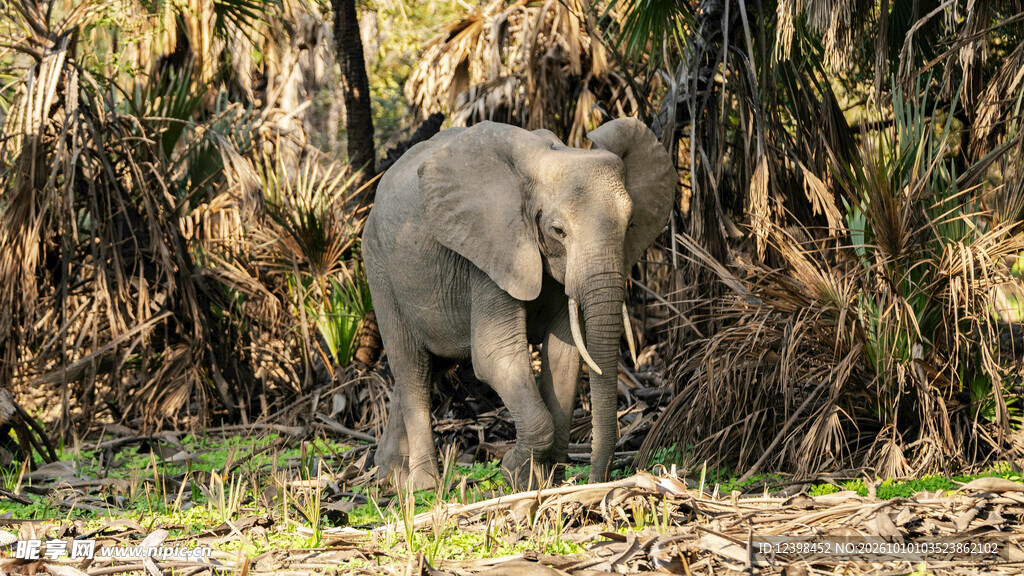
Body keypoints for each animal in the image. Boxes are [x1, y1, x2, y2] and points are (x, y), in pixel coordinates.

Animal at [362, 117, 676, 489]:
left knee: (428, 367)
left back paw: (388, 474)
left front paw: (546, 478)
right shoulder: (491, 252)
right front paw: (515, 473)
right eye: (558, 231)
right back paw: (423, 485)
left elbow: (564, 355)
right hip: (380, 269)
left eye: (629, 225)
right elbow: (494, 355)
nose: (595, 480)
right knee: (412, 368)